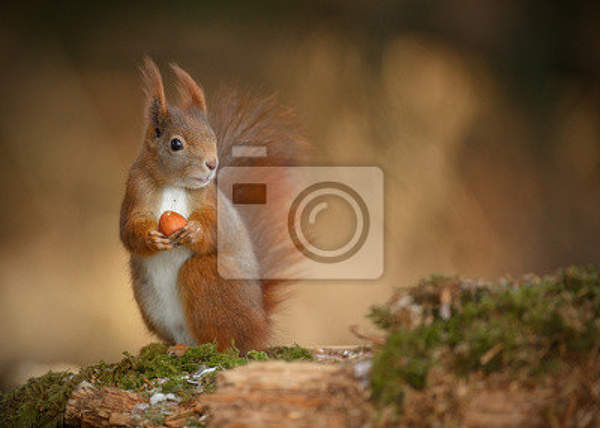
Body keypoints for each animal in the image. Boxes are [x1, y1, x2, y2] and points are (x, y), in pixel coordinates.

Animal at [121, 57, 310, 352]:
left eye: (212, 137)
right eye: (176, 143)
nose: (212, 164)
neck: (174, 184)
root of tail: (260, 325)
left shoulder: (211, 199)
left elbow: (217, 227)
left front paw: (195, 231)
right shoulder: (135, 190)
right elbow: (129, 229)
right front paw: (151, 238)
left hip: (209, 278)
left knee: (225, 339)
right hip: (149, 299)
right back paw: (175, 347)